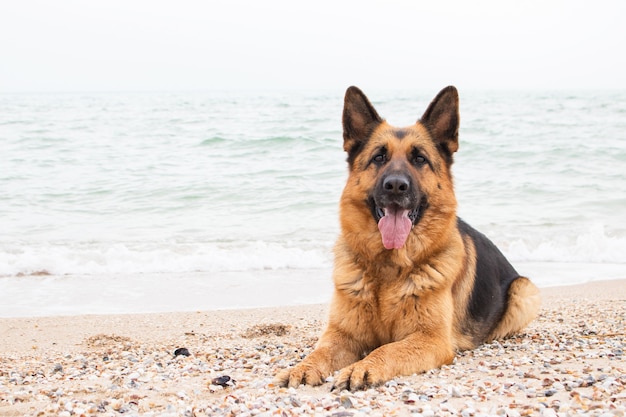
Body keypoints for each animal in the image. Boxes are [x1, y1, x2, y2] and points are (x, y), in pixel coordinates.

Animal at [276, 84, 540, 390]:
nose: (395, 186)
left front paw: (363, 367)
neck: (388, 268)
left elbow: (387, 348)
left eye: (420, 159)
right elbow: (321, 350)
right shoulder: (342, 335)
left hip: (524, 291)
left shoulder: (430, 339)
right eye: (379, 157)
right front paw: (303, 367)